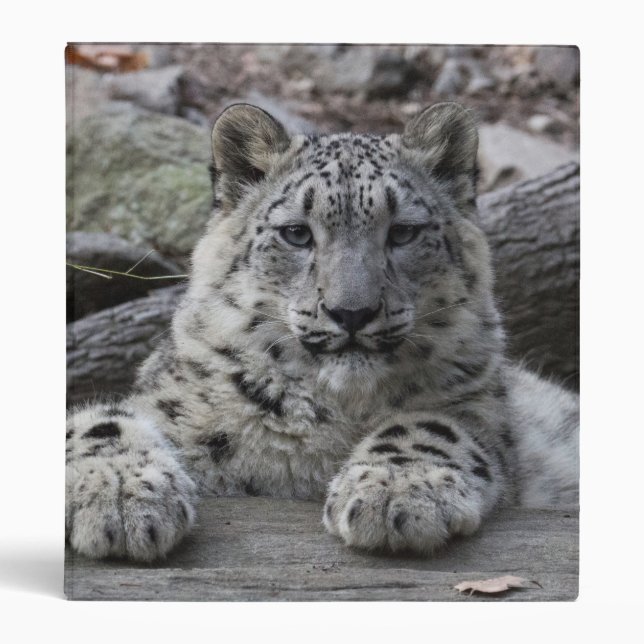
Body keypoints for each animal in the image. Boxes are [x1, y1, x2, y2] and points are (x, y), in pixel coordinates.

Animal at [65, 102, 579, 561]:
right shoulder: (167, 401)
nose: (351, 312)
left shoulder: (480, 405)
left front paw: (397, 491)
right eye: (296, 233)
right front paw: (119, 497)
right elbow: (99, 421)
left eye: (403, 232)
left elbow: (432, 424)